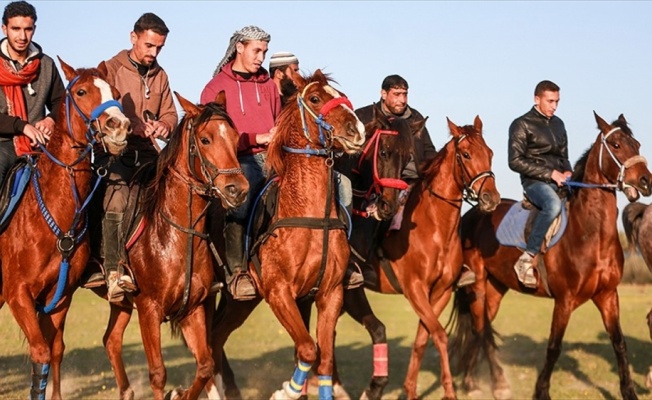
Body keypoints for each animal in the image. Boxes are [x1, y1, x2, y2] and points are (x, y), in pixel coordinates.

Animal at [0, 59, 131, 400]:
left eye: (115, 93)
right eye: (81, 92)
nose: (119, 126)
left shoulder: (60, 296)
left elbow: (55, 350)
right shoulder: (18, 295)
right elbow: (41, 352)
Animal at [95, 91, 248, 400]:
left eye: (235, 137)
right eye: (206, 139)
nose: (238, 190)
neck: (175, 235)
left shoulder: (194, 308)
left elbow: (205, 365)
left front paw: (180, 393)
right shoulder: (148, 309)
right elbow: (158, 374)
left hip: (121, 304)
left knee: (111, 340)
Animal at [202, 69, 366, 400]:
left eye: (341, 95)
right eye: (314, 98)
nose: (358, 131)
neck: (310, 215)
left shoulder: (330, 293)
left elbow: (324, 358)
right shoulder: (279, 292)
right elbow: (308, 349)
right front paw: (285, 392)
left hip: (240, 303)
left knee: (216, 337)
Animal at [448, 112, 652, 400]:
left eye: (637, 145)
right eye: (616, 145)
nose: (646, 181)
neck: (590, 235)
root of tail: (471, 215)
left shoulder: (608, 295)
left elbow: (619, 344)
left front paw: (630, 392)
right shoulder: (564, 301)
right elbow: (554, 346)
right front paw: (541, 391)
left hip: (494, 289)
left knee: (480, 331)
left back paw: (472, 383)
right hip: (476, 287)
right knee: (481, 331)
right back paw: (494, 384)